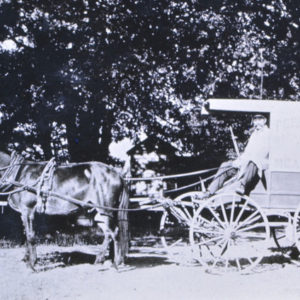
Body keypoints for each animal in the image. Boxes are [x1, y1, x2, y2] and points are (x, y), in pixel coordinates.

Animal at [0, 151, 129, 270]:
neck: (20, 174)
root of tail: (118, 174)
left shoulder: (28, 210)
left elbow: (30, 235)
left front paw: (31, 264)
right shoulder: (23, 213)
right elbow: (26, 234)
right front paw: (27, 259)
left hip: (105, 210)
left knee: (114, 233)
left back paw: (116, 263)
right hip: (99, 214)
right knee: (108, 234)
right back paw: (102, 260)